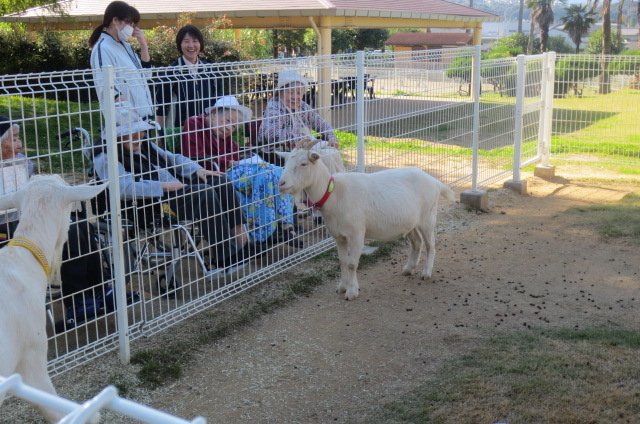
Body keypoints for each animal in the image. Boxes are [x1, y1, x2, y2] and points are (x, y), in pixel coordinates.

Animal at [280, 141, 456, 300]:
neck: (334, 193)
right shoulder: (338, 236)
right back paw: (408, 268)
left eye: (303, 164)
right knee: (417, 242)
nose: (281, 183)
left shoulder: (356, 234)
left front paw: (351, 292)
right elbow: (343, 261)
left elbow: (352, 263)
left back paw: (426, 272)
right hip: (410, 222)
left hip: (428, 217)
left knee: (430, 245)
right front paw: (342, 287)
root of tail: (435, 181)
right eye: (285, 162)